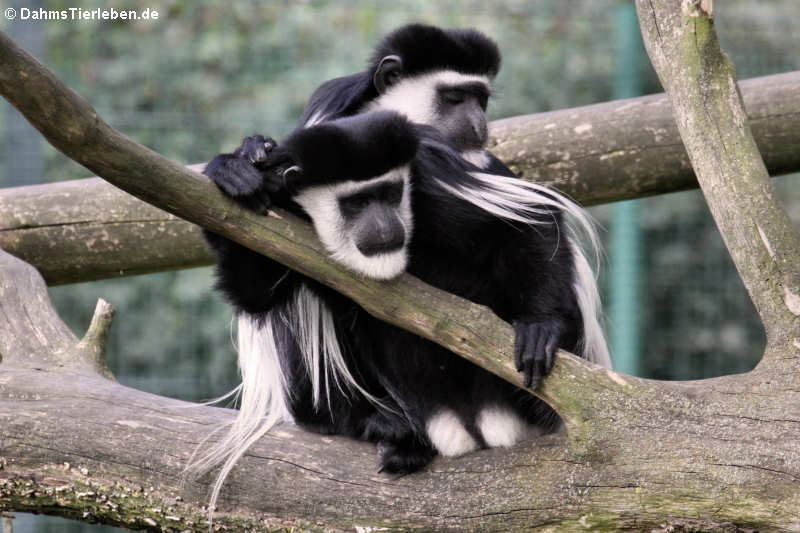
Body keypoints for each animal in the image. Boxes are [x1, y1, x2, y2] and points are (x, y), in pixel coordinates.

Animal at [198, 23, 608, 502]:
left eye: (481, 99)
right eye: (454, 98)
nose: (480, 126)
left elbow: (528, 216)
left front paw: (541, 326)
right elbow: (262, 290)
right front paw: (236, 168)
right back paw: (380, 427)